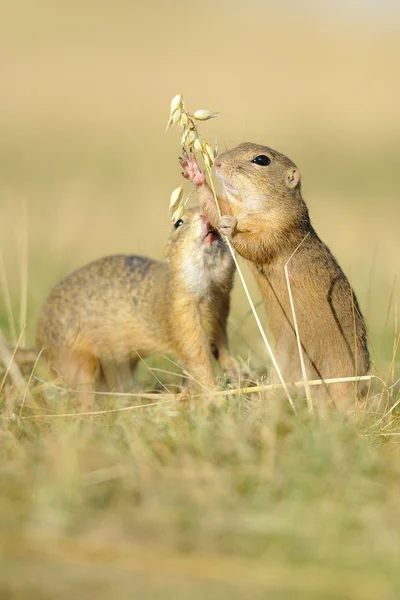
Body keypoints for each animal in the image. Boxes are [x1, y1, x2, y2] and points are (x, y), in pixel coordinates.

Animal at [14, 209, 236, 406]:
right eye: (178, 223)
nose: (206, 215)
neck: (209, 292)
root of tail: (41, 350)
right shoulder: (183, 318)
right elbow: (197, 358)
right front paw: (215, 393)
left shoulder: (221, 311)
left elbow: (222, 345)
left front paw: (234, 370)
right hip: (79, 361)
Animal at [181, 143, 368, 410]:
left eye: (262, 160)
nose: (217, 162)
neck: (255, 207)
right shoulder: (235, 207)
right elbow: (217, 205)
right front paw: (195, 172)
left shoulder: (281, 228)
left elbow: (255, 246)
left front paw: (229, 228)